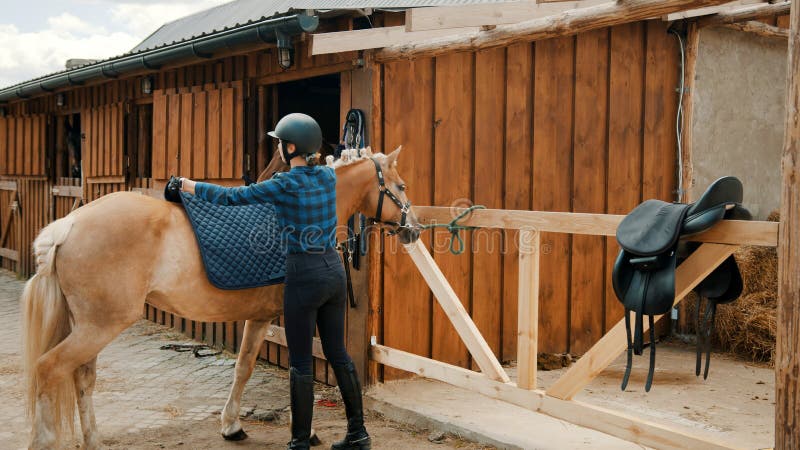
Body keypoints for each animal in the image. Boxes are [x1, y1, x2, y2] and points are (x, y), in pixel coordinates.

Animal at [20, 147, 418, 446]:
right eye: (400, 185)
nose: (413, 230)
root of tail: (67, 225)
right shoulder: (292, 316)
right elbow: (294, 367)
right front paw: (305, 432)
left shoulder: (259, 317)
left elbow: (243, 367)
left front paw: (231, 426)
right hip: (100, 326)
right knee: (48, 369)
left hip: (89, 327)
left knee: (82, 378)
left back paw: (93, 441)